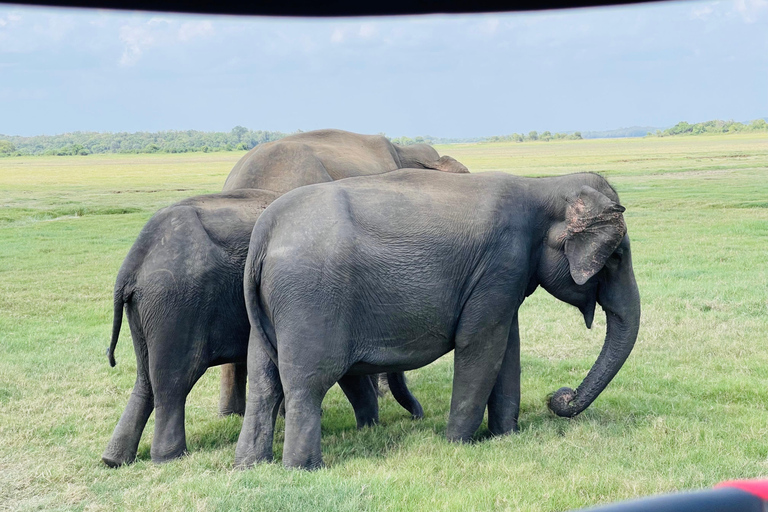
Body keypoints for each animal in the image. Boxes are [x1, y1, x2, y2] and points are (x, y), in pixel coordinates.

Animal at [102, 189, 425, 467]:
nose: (417, 418)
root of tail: (134, 262)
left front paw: (367, 427)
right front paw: (368, 426)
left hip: (150, 309)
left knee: (146, 381)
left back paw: (114, 460)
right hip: (176, 304)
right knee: (174, 380)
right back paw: (169, 457)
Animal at [235, 170, 641, 469]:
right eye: (617, 256)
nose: (560, 397)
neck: (544, 186)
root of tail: (264, 232)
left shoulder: (506, 275)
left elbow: (506, 346)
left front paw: (505, 437)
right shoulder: (501, 263)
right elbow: (479, 346)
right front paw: (458, 445)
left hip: (272, 310)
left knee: (264, 384)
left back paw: (251, 466)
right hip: (311, 298)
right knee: (307, 384)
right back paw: (304, 468)